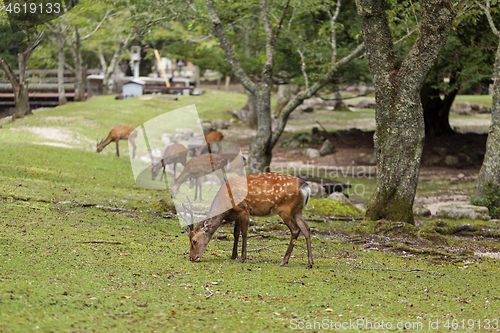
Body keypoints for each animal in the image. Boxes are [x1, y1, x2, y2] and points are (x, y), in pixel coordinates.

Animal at [182, 171, 314, 268]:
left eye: (194, 241)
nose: (192, 258)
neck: (225, 207)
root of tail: (306, 188)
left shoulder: (244, 209)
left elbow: (244, 233)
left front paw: (242, 258)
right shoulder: (237, 215)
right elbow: (235, 233)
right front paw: (233, 255)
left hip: (285, 209)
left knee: (295, 230)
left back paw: (283, 261)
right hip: (297, 210)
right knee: (306, 228)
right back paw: (310, 263)